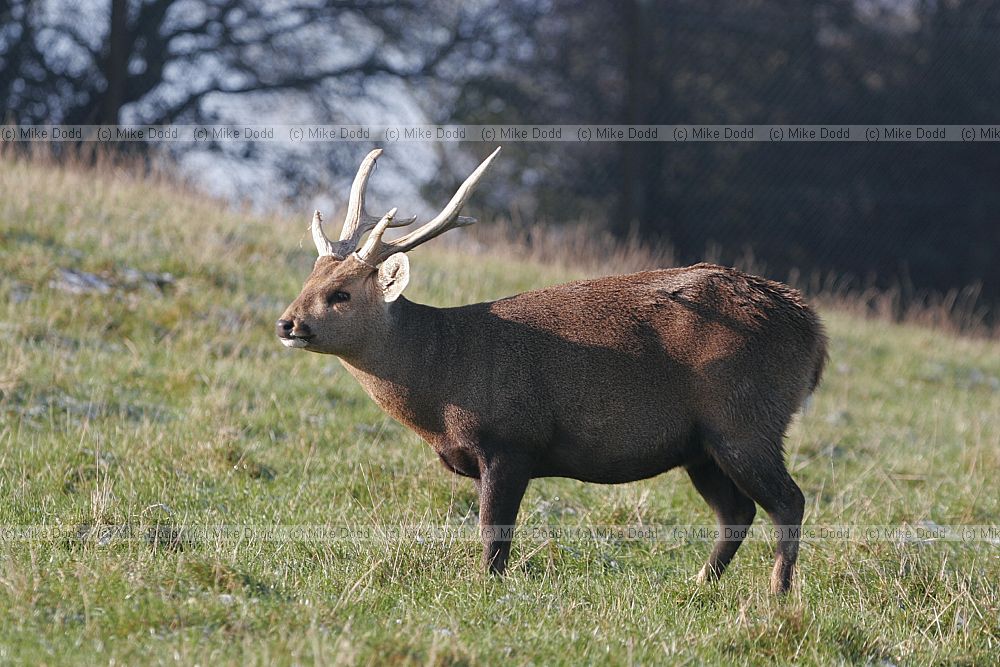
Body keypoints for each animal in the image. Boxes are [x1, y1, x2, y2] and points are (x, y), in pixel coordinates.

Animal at [277, 147, 827, 594]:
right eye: (309, 279)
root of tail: (814, 332)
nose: (287, 324)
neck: (442, 376)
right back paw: (700, 585)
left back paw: (777, 593)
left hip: (746, 419)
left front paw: (487, 588)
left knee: (789, 502)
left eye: (342, 294)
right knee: (737, 512)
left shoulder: (512, 440)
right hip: (701, 445)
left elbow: (494, 536)